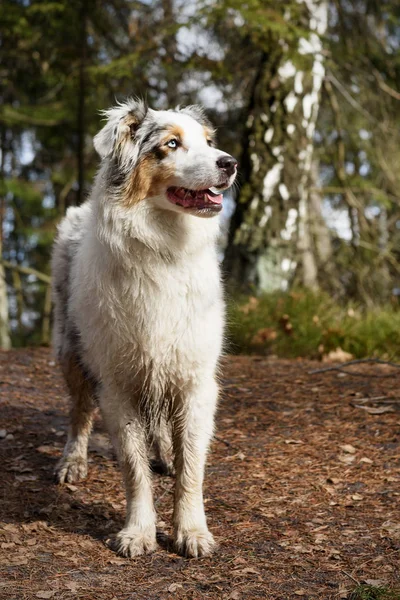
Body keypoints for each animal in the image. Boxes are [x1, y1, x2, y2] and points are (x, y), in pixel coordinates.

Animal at [50, 98, 238, 556]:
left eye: (209, 142)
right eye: (170, 144)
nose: (230, 163)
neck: (162, 248)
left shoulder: (195, 379)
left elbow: (192, 468)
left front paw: (192, 530)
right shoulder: (117, 383)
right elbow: (134, 470)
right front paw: (138, 532)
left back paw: (165, 453)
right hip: (70, 349)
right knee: (80, 412)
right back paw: (73, 461)